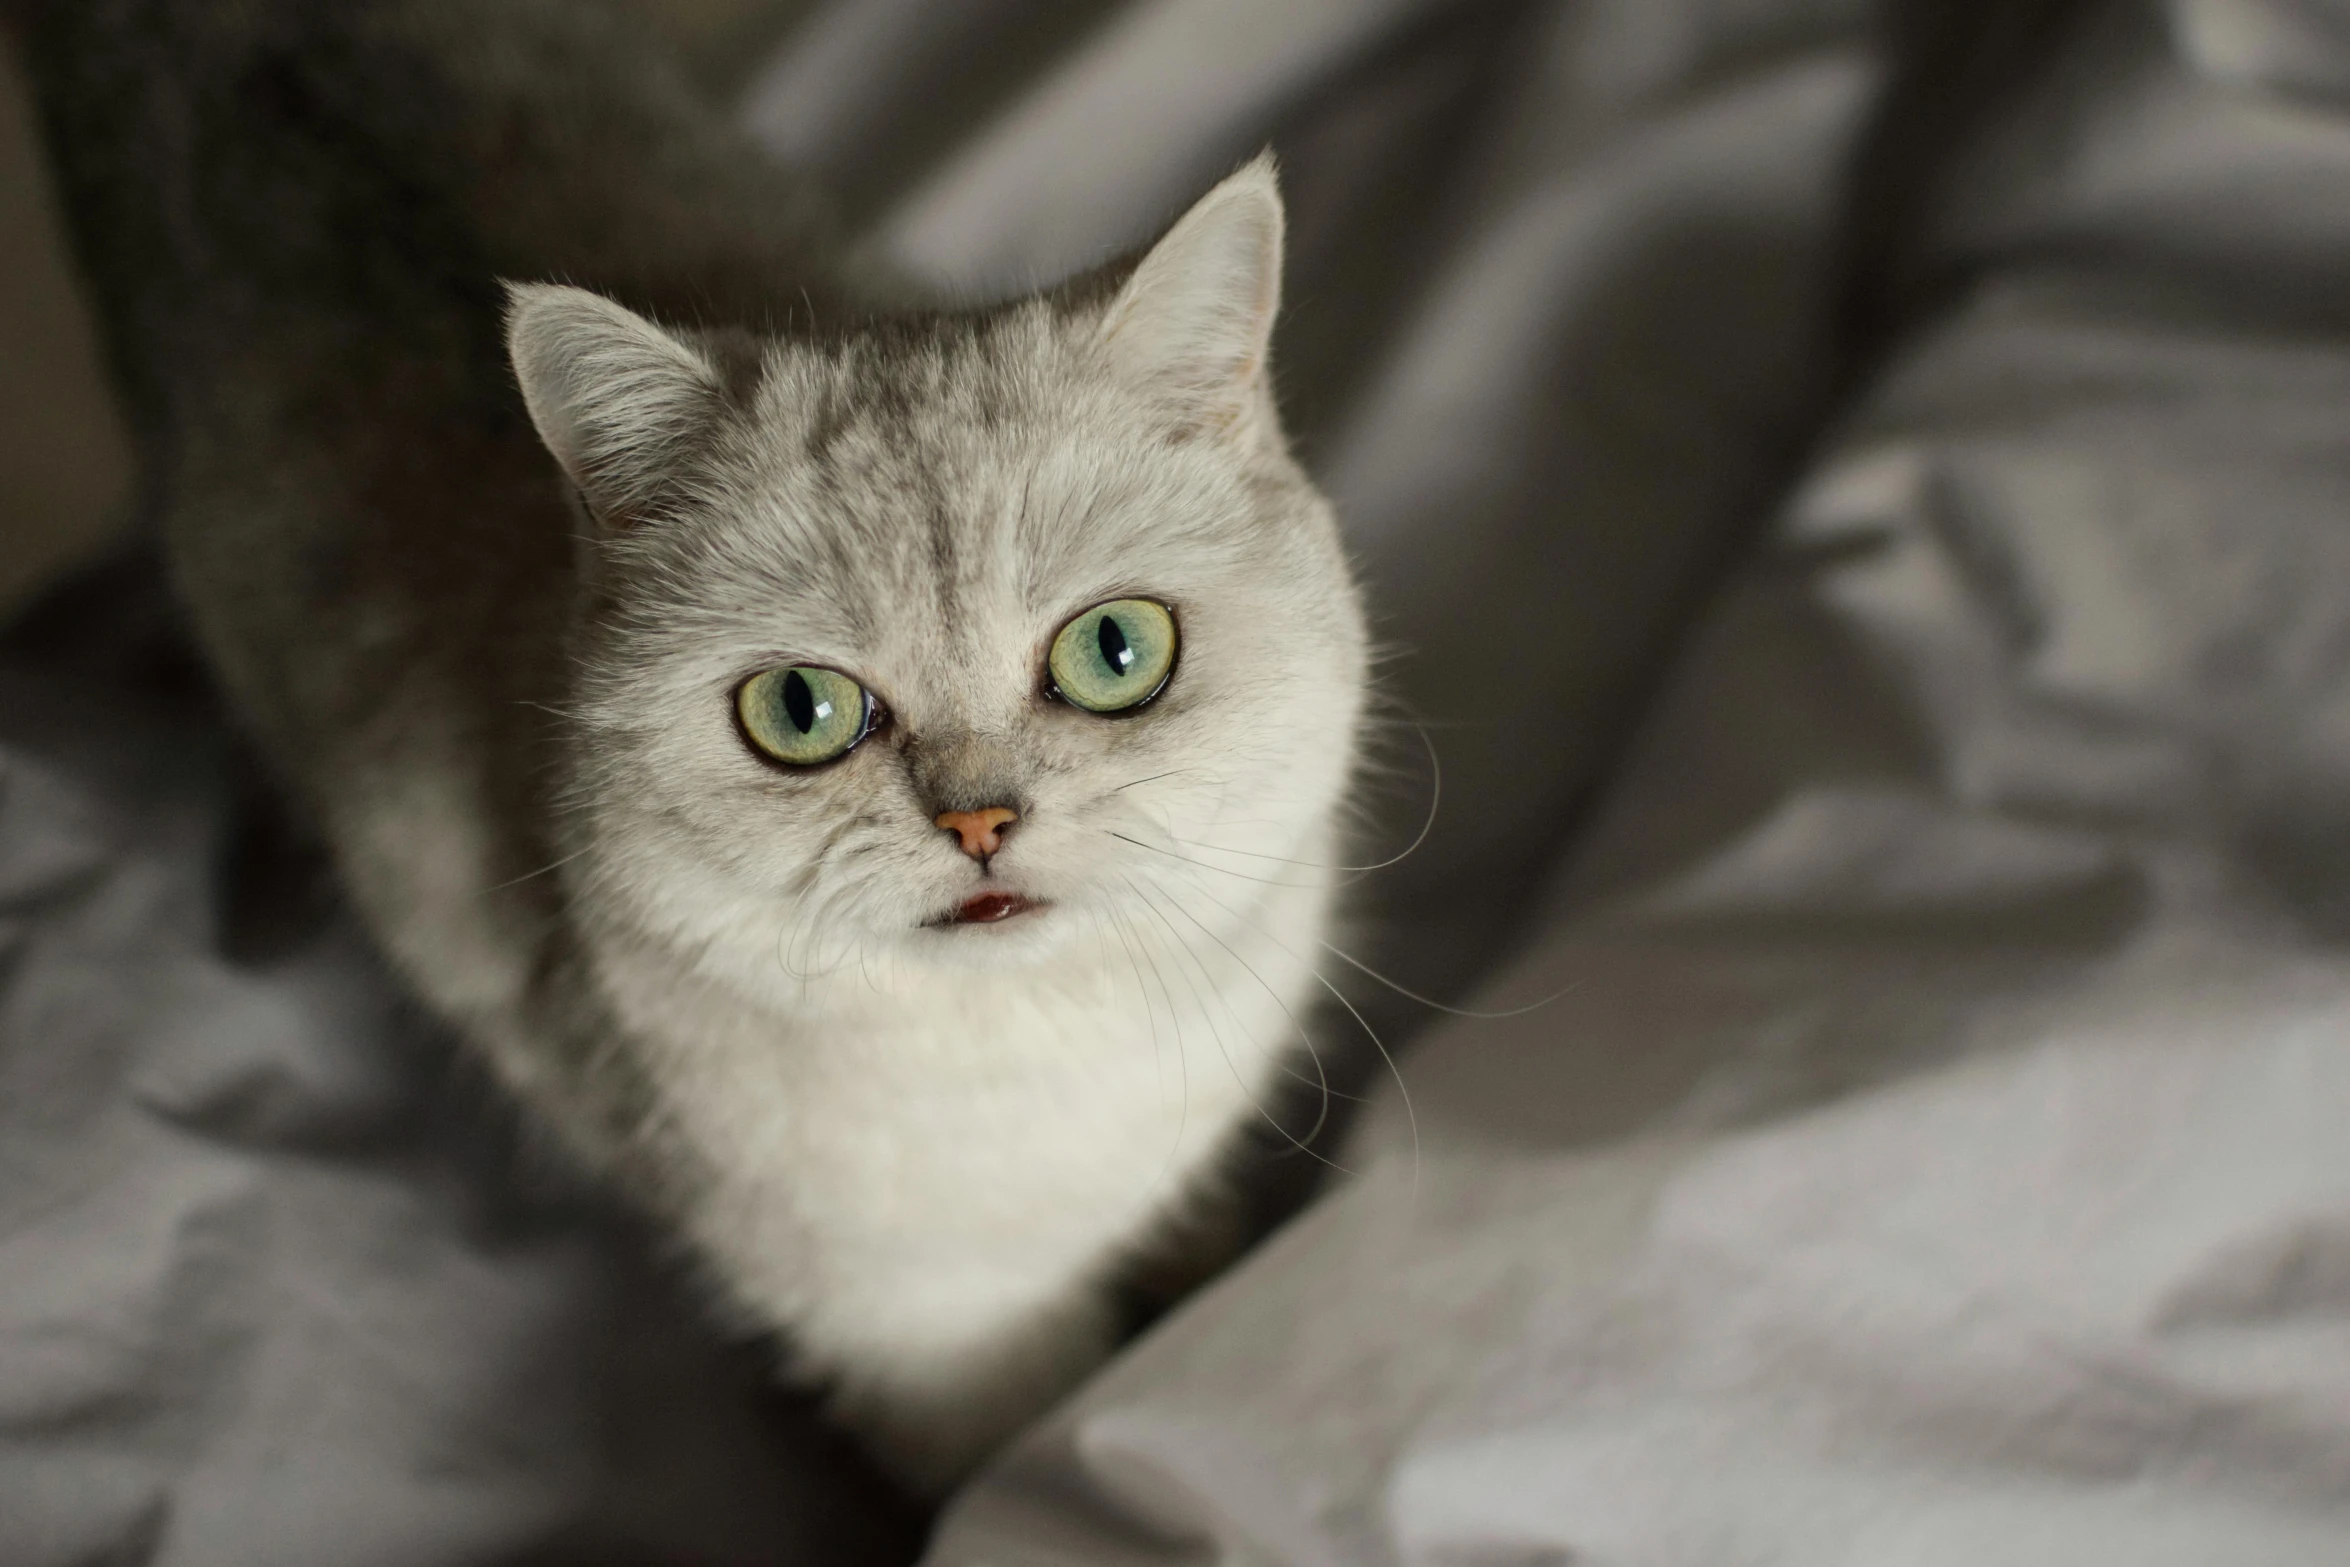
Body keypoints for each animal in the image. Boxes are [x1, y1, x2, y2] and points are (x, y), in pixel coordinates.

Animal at [18, 0, 1372, 1494]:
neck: (1044, 1061)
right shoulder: (927, 1337)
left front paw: (1205, 1260)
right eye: (801, 712)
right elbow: (1010, 1450)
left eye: (1116, 650)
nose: (978, 820)